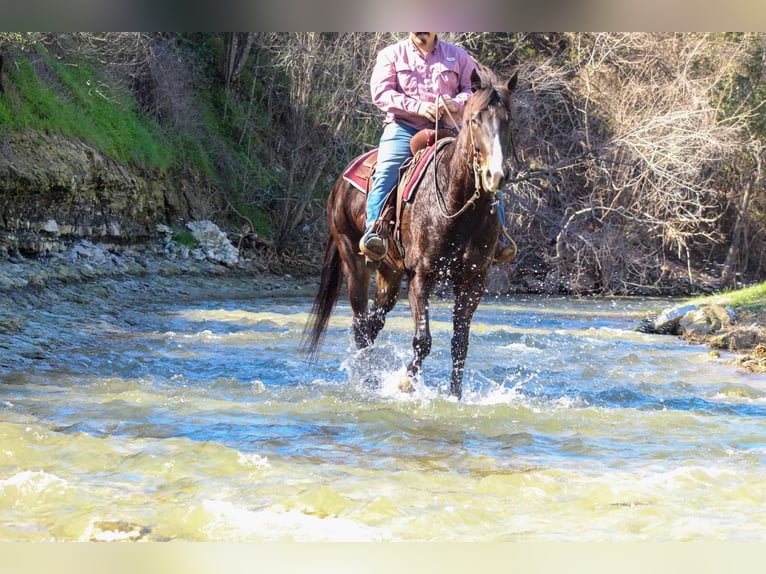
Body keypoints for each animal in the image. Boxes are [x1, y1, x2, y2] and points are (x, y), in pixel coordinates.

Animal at [304, 66, 520, 400]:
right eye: (474, 119)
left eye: (508, 120)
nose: (494, 175)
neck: (458, 205)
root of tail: (340, 182)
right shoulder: (421, 276)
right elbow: (423, 340)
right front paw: (405, 383)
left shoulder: (473, 280)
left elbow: (460, 344)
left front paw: (455, 396)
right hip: (353, 259)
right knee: (360, 324)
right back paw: (367, 383)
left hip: (390, 274)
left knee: (373, 323)